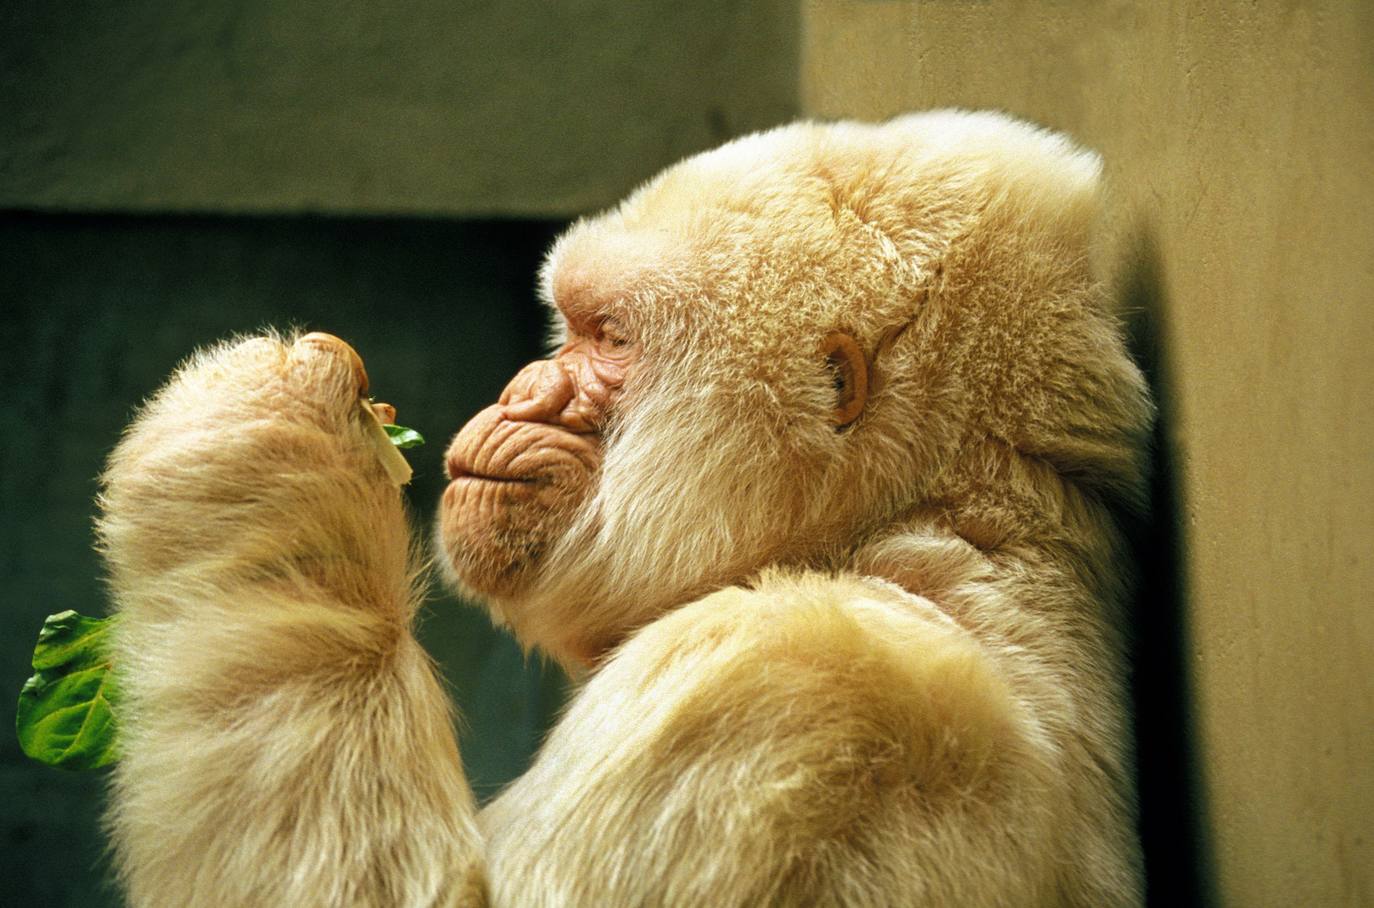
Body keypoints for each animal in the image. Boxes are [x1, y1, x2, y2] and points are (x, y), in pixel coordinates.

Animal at [99, 109, 1148, 901]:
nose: (521, 390)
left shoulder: (788, 683)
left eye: (608, 336)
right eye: (569, 327)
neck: (894, 528)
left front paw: (264, 439)